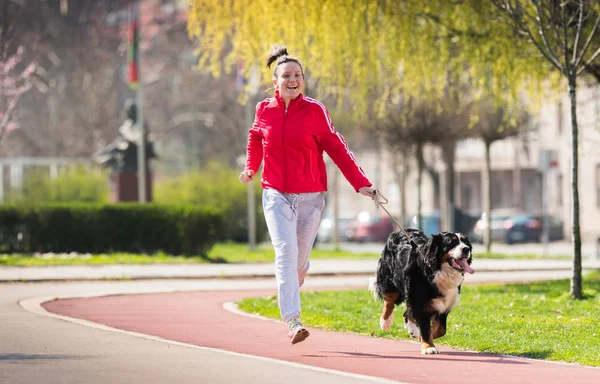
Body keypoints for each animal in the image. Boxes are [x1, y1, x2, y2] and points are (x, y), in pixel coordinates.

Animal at [368, 226, 476, 356]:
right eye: (451, 242)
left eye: (466, 242)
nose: (466, 249)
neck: (437, 270)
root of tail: (401, 230)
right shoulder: (420, 302)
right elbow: (425, 328)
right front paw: (428, 346)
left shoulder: (444, 305)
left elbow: (440, 330)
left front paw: (423, 338)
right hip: (390, 279)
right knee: (389, 300)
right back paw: (385, 322)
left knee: (407, 312)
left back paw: (412, 329)